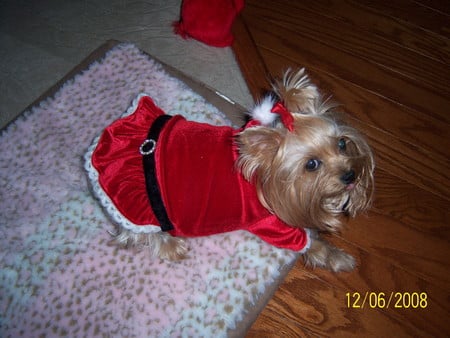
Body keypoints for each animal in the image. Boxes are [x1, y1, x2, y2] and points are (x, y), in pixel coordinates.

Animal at [86, 68, 374, 272]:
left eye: (342, 143)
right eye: (311, 164)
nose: (350, 175)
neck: (263, 178)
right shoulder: (273, 223)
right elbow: (308, 245)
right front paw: (338, 258)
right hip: (138, 205)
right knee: (138, 234)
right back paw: (172, 246)